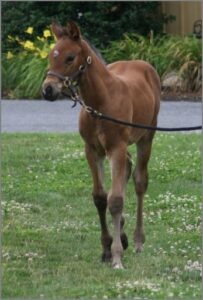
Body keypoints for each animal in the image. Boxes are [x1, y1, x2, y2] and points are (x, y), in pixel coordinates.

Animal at [42, 21, 160, 270]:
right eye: (50, 55)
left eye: (69, 57)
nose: (48, 90)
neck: (101, 102)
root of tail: (139, 62)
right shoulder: (92, 149)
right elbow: (100, 197)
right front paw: (107, 248)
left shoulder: (116, 147)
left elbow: (115, 200)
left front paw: (116, 256)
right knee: (127, 169)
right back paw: (123, 233)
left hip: (146, 137)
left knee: (139, 181)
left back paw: (137, 240)